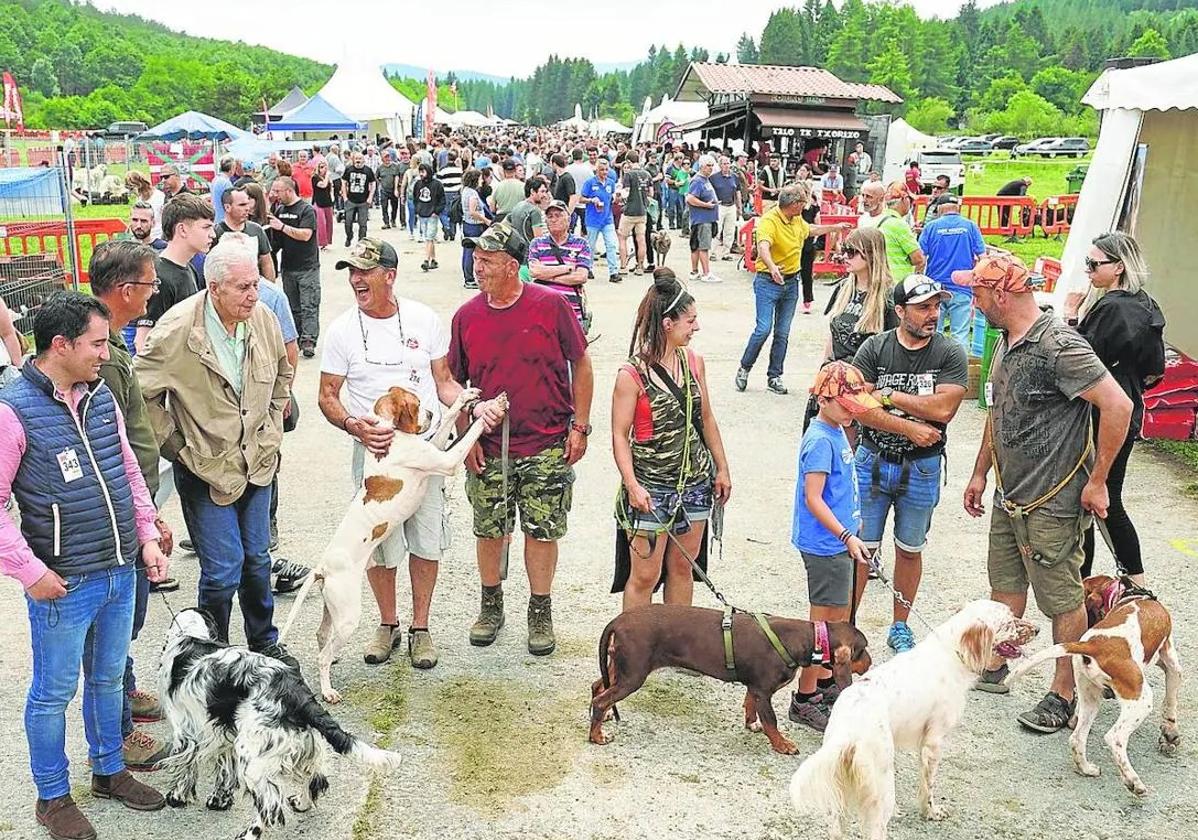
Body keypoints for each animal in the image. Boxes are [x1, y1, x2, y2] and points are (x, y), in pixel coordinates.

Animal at [156, 608, 402, 838]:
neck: (190, 634)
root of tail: (296, 693)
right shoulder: (221, 734)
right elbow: (224, 770)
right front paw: (219, 800)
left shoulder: (185, 731)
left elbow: (186, 767)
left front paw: (176, 797)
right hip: (300, 742)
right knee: (314, 776)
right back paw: (300, 803)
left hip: (253, 761)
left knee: (270, 805)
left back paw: (248, 834)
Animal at [276, 385, 505, 699]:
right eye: (416, 404)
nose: (430, 413)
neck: (391, 432)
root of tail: (322, 567)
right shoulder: (445, 461)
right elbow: (471, 432)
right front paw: (494, 407)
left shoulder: (435, 446)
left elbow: (447, 423)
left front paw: (465, 398)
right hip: (349, 616)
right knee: (323, 654)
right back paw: (328, 691)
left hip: (332, 608)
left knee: (322, 636)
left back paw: (332, 660)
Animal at [589, 603, 872, 752]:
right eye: (862, 650)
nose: (870, 664)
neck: (808, 640)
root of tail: (619, 620)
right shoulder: (764, 692)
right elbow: (771, 721)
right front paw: (782, 745)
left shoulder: (754, 688)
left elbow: (749, 706)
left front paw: (751, 724)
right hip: (633, 675)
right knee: (600, 701)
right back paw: (597, 736)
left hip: (619, 670)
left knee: (597, 687)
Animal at [785, 599, 1039, 834]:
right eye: (1008, 622)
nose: (1037, 629)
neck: (953, 652)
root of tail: (848, 732)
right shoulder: (933, 743)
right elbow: (928, 787)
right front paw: (931, 812)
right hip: (882, 791)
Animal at [1001, 572, 1178, 795]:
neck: (1124, 594)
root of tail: (1094, 645)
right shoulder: (1171, 661)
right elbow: (1171, 701)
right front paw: (1170, 733)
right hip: (1141, 700)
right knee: (1115, 738)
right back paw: (1133, 781)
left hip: (1090, 697)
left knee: (1077, 738)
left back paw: (1087, 769)